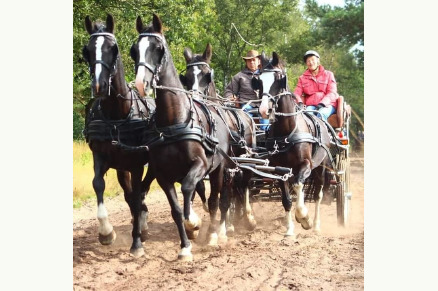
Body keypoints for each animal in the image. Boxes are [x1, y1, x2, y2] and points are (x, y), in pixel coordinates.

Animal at [82, 14, 156, 248]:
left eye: (113, 48)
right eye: (87, 50)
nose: (99, 85)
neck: (117, 115)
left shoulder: (136, 162)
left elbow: (138, 191)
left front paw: (139, 232)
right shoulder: (100, 155)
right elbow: (98, 184)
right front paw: (106, 232)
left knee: (142, 189)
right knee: (130, 192)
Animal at [128, 13, 234, 260]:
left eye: (158, 49)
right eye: (134, 50)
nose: (140, 83)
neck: (174, 121)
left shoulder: (200, 165)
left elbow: (188, 188)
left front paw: (193, 222)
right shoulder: (162, 175)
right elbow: (176, 209)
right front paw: (185, 246)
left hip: (219, 169)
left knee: (216, 201)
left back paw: (213, 234)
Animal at [180, 43, 258, 244]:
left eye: (207, 75)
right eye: (187, 77)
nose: (194, 99)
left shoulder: (223, 167)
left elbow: (220, 199)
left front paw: (216, 232)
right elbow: (198, 190)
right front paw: (192, 226)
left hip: (244, 163)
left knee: (243, 188)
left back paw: (246, 218)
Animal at [253, 50, 338, 237]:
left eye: (279, 78)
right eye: (259, 79)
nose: (264, 110)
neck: (286, 132)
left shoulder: (305, 164)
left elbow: (300, 186)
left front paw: (304, 218)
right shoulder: (280, 170)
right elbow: (286, 199)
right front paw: (290, 230)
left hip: (321, 167)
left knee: (318, 194)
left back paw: (316, 225)